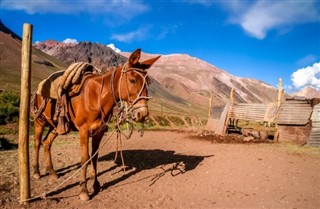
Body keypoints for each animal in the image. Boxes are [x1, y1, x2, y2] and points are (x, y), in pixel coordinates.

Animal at [31, 49, 160, 201]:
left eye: (148, 83)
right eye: (132, 80)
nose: (142, 114)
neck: (97, 96)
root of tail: (38, 90)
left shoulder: (99, 131)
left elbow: (94, 157)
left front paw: (96, 184)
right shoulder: (84, 131)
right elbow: (85, 158)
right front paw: (83, 190)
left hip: (56, 126)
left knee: (46, 143)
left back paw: (52, 173)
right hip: (40, 122)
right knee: (37, 143)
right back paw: (36, 172)